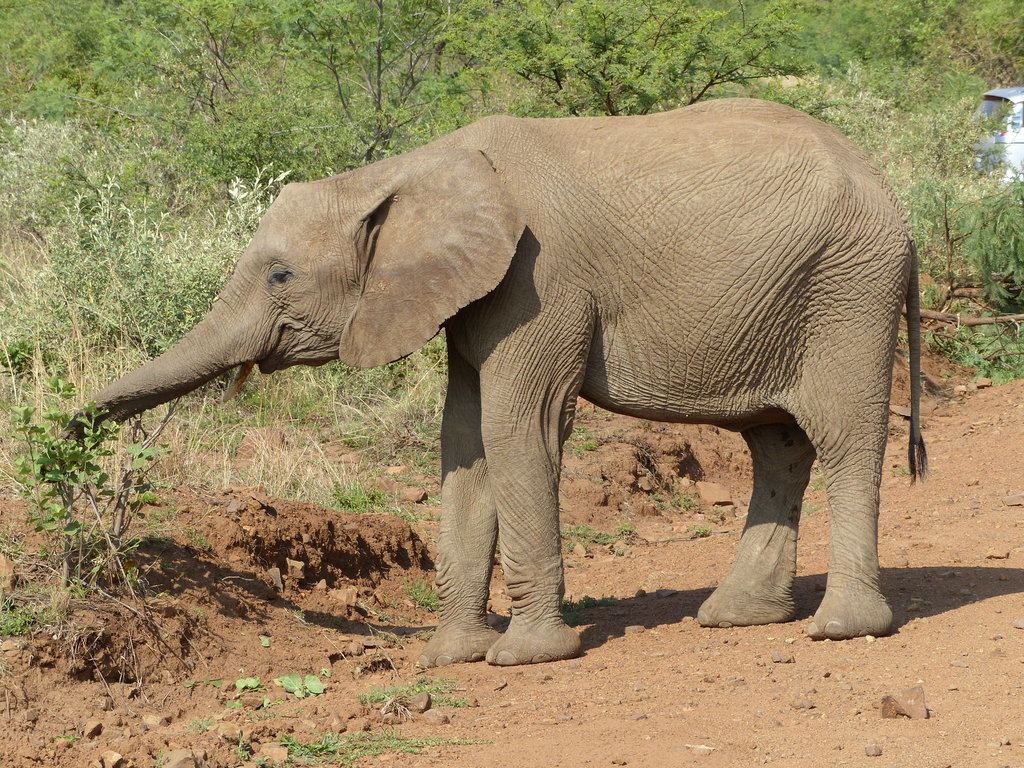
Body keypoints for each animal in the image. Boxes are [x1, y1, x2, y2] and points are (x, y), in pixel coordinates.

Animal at [90, 99, 929, 667]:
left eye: (279, 275)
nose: (81, 427)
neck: (407, 170)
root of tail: (891, 192)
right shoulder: (470, 295)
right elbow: (464, 441)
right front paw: (451, 658)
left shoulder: (538, 281)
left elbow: (518, 427)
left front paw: (525, 656)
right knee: (775, 442)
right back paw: (737, 617)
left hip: (849, 289)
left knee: (843, 436)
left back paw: (841, 629)